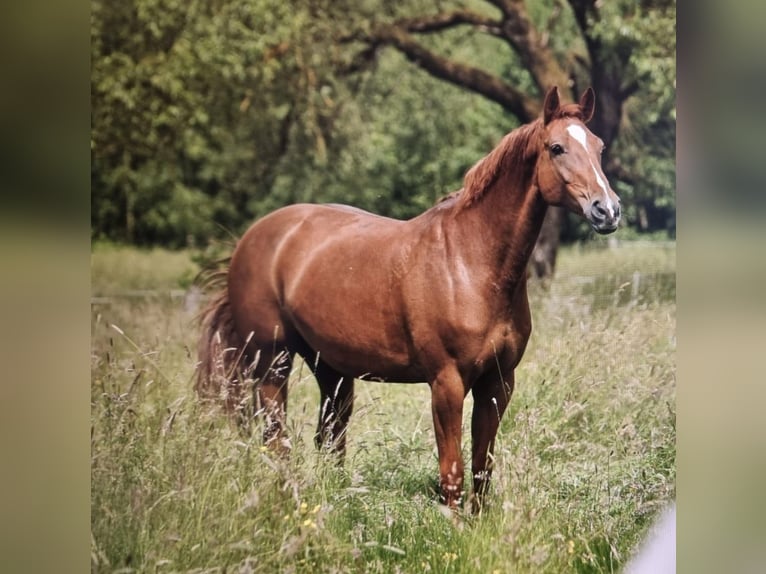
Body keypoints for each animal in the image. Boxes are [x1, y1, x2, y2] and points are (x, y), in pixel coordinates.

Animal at [198, 88, 624, 510]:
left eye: (599, 147)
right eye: (556, 148)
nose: (607, 210)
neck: (470, 261)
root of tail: (252, 238)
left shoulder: (498, 383)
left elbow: (481, 469)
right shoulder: (446, 383)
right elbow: (452, 472)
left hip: (331, 369)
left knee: (330, 438)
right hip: (273, 364)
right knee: (277, 439)